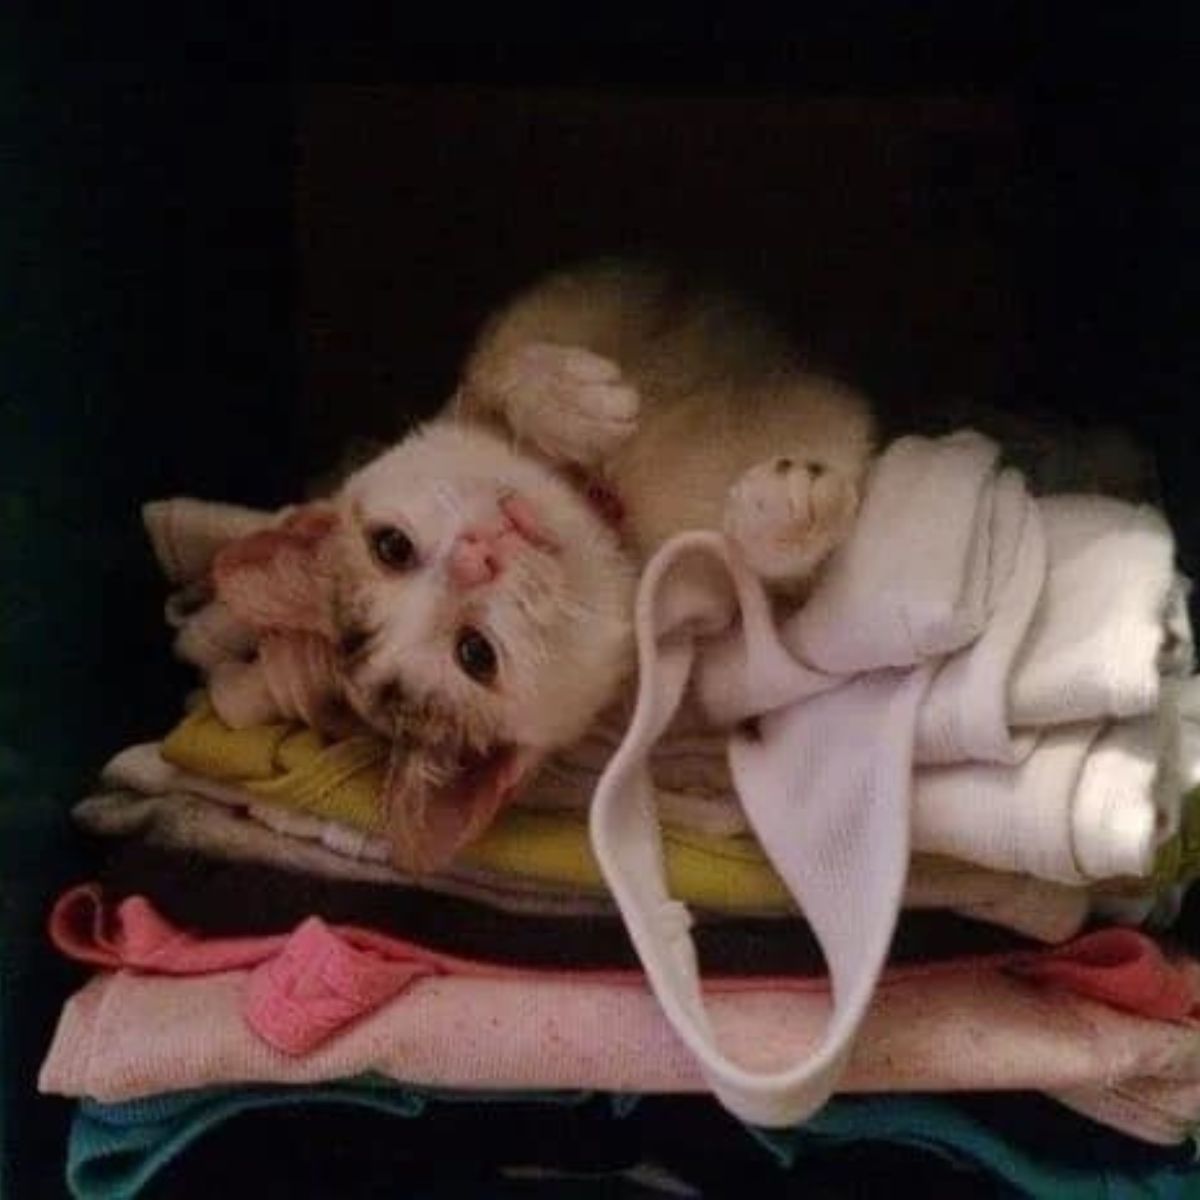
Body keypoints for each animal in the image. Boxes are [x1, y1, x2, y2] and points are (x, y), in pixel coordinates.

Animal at [236, 262, 873, 873]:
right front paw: (780, 513)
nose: (476, 556)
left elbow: (490, 369)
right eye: (476, 654)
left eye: (390, 547)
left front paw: (564, 400)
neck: (611, 508)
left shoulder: (574, 293)